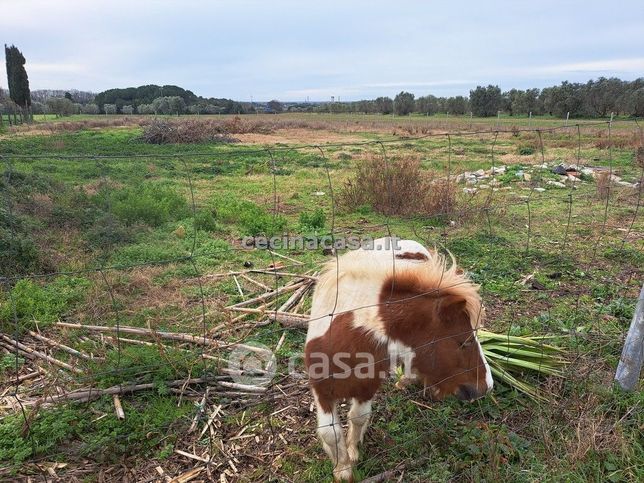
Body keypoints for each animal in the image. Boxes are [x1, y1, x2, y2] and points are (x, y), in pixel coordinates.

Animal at [304, 239, 490, 483]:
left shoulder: (367, 387)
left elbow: (358, 417)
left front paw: (353, 451)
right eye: (465, 341)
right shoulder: (321, 390)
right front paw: (342, 469)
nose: (487, 386)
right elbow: (330, 432)